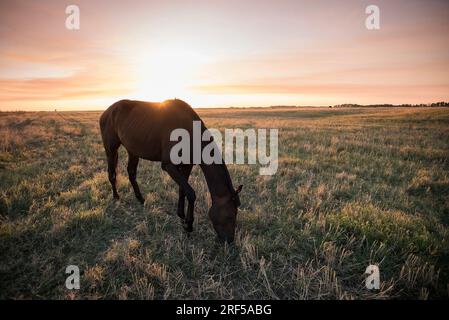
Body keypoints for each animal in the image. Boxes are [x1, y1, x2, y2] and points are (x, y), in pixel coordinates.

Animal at [98, 98, 242, 242]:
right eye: (230, 215)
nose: (229, 241)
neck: (189, 132)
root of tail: (107, 112)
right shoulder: (168, 166)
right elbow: (191, 193)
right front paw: (189, 225)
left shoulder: (187, 165)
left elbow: (183, 190)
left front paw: (182, 217)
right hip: (111, 149)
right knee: (112, 174)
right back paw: (116, 197)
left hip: (133, 151)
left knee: (131, 173)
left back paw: (141, 199)